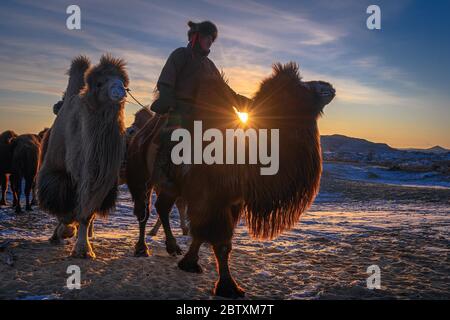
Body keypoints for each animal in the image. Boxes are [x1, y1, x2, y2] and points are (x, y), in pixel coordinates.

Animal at [38, 54, 128, 260]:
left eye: (123, 81)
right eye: (100, 83)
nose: (120, 89)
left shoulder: (101, 185)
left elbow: (87, 213)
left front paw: (84, 248)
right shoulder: (63, 175)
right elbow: (66, 210)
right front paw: (68, 233)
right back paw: (57, 235)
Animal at [126, 62, 334, 298]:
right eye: (297, 87)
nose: (327, 87)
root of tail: (138, 134)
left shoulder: (230, 202)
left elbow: (207, 236)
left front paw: (189, 262)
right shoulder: (209, 198)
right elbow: (220, 242)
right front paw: (228, 286)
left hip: (171, 187)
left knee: (162, 207)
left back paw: (172, 247)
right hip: (140, 175)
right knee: (143, 210)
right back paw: (142, 248)